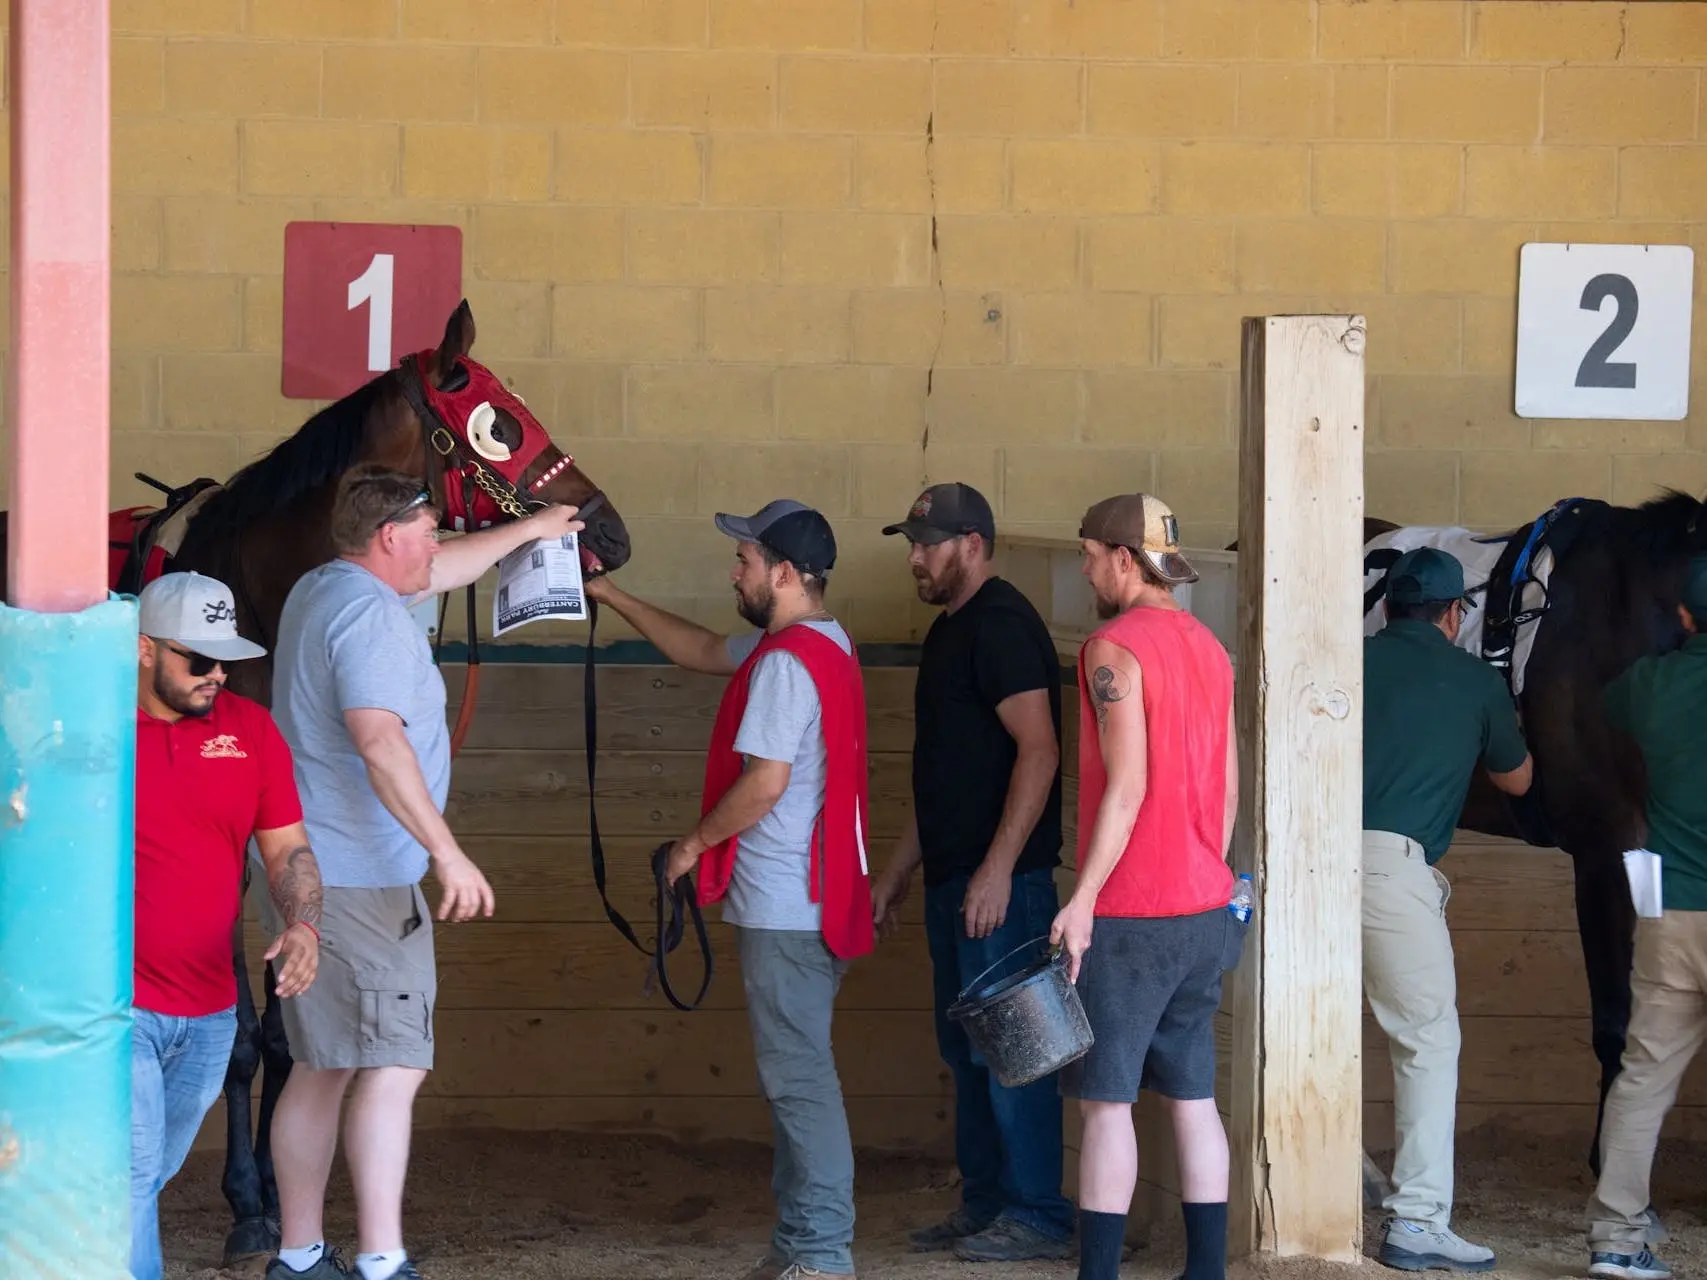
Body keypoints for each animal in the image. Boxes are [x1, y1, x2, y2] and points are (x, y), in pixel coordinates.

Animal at [0, 298, 635, 1262]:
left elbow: (288, 1028)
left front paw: (271, 1189)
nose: (604, 534)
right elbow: (236, 1036)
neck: (259, 601)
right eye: (499, 424)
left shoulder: (291, 838)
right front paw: (246, 1205)